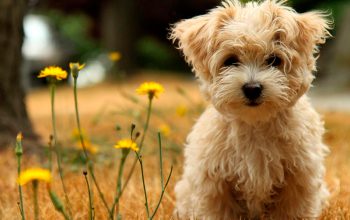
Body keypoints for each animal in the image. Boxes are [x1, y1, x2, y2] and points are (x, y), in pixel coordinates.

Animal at [171, 0, 332, 219]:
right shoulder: (214, 182)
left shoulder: (299, 177)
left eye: (274, 60)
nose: (252, 88)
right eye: (231, 60)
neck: (255, 123)